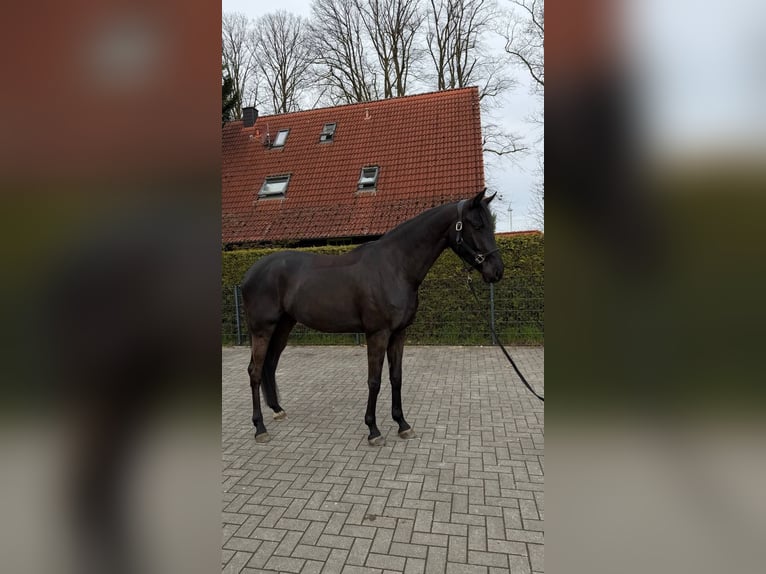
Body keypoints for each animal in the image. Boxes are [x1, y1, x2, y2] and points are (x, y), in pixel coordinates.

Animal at [240, 188, 504, 445]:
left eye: (490, 225)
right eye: (477, 225)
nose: (497, 271)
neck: (395, 266)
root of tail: (251, 273)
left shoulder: (398, 334)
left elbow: (396, 377)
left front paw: (402, 424)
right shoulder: (378, 334)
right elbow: (374, 381)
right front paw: (373, 429)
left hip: (283, 326)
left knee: (270, 364)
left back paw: (277, 410)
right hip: (262, 329)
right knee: (254, 371)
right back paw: (259, 428)